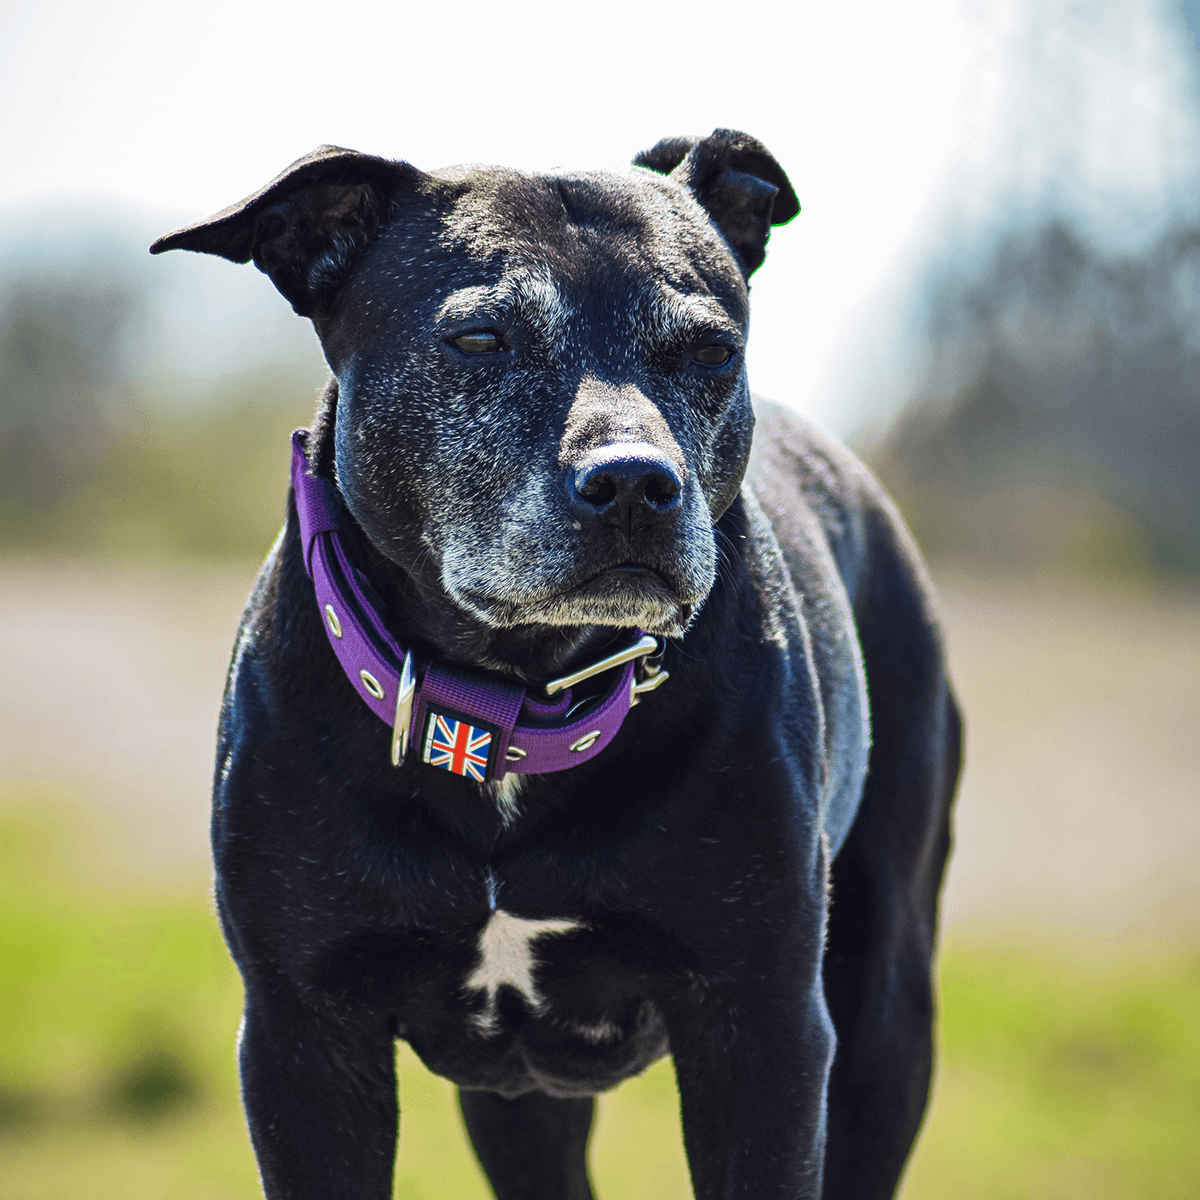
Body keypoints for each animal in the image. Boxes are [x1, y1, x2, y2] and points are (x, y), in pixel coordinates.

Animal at [152, 131, 955, 1200]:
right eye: (480, 338)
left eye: (712, 351)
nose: (635, 483)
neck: (502, 703)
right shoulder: (301, 1041)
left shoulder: (767, 1034)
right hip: (519, 1099)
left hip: (885, 1015)